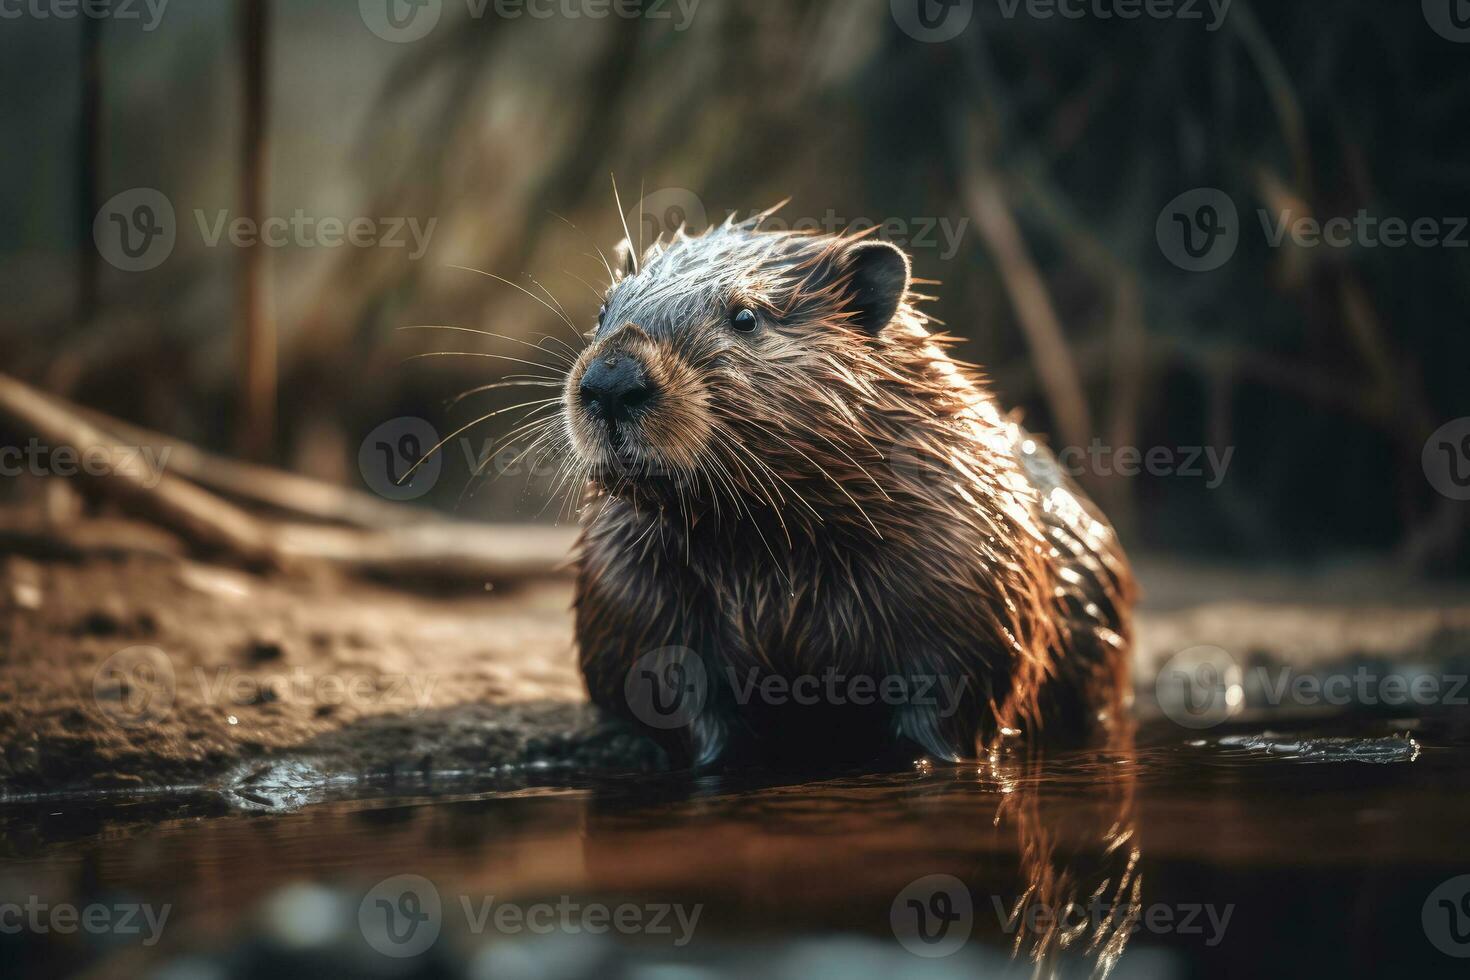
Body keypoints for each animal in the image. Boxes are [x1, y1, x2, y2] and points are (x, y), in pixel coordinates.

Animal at [552, 215, 1134, 775]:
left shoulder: (966, 556)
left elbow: (951, 697)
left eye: (746, 317)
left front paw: (915, 759)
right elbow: (671, 695)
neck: (762, 544)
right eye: (604, 309)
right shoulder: (627, 581)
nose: (611, 381)